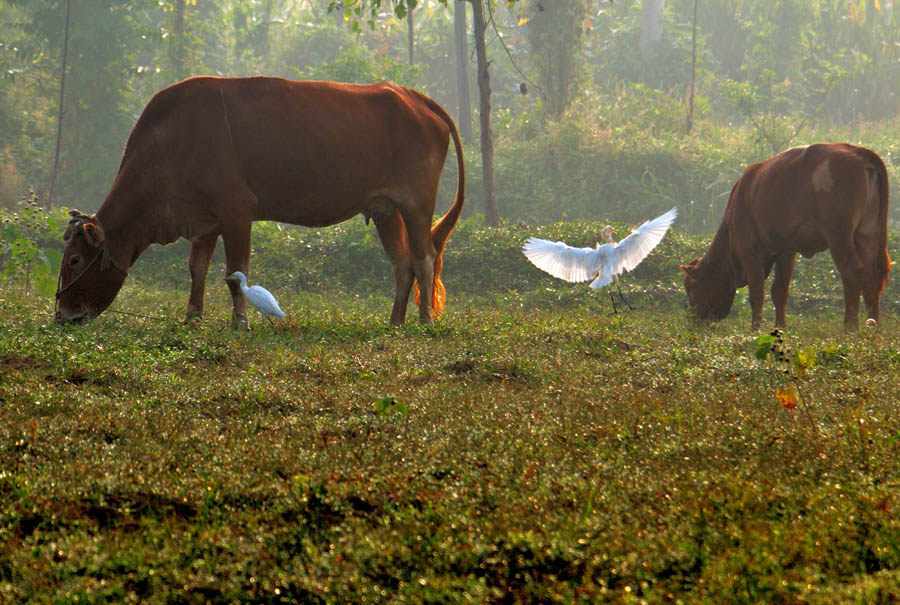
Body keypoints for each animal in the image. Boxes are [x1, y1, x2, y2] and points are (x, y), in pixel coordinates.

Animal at [54, 78, 464, 330]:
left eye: (74, 260)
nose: (62, 315)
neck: (172, 142)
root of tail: (409, 95)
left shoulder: (237, 211)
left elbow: (236, 273)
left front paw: (240, 322)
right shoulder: (204, 219)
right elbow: (197, 268)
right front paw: (192, 318)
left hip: (416, 202)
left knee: (425, 258)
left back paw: (425, 319)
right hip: (385, 208)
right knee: (402, 264)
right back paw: (395, 321)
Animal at [684, 142, 888, 330]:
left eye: (690, 287)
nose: (694, 319)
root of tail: (857, 152)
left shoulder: (749, 249)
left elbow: (756, 293)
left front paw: (755, 329)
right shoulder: (786, 249)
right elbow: (779, 292)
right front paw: (779, 328)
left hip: (838, 234)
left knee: (851, 270)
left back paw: (850, 327)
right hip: (867, 233)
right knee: (870, 277)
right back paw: (873, 327)